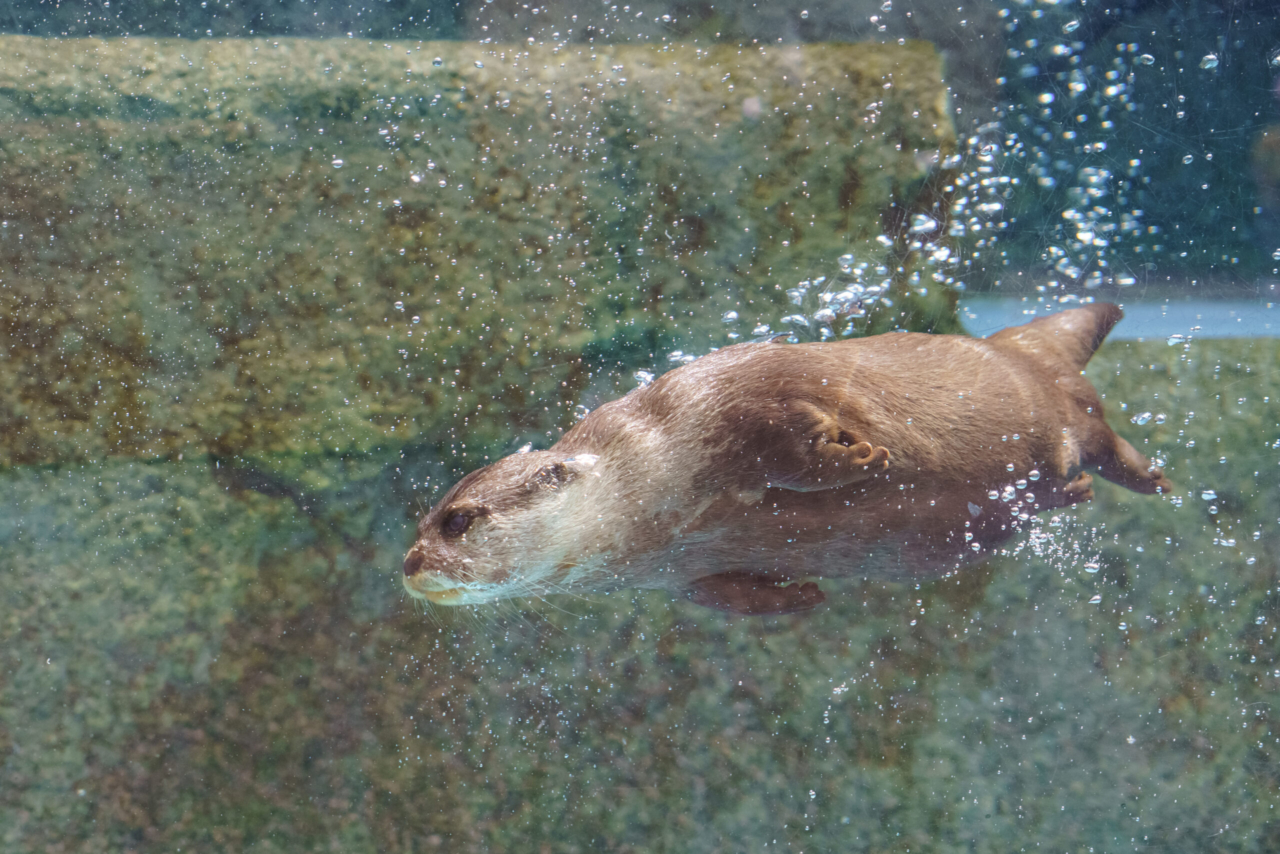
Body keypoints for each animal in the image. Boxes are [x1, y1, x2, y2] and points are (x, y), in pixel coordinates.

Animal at [407, 303, 1172, 617]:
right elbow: (728, 595)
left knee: (1101, 438)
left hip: (1063, 403)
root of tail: (1017, 345)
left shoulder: (730, 401)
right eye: (421, 523)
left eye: (458, 520)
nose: (410, 565)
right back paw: (1075, 493)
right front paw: (801, 597)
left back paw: (1140, 478)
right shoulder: (686, 574)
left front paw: (866, 457)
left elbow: (792, 444)